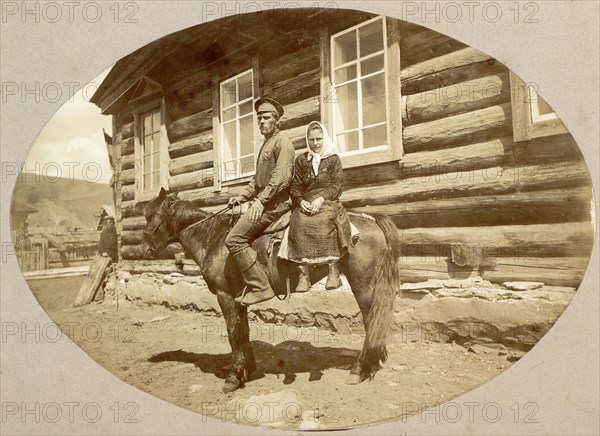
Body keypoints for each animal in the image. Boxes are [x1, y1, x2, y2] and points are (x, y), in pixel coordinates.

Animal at [141, 186, 400, 392]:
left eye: (152, 216)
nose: (143, 249)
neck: (213, 240)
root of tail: (371, 219)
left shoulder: (225, 296)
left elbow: (233, 334)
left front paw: (234, 377)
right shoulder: (240, 299)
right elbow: (243, 333)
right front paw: (248, 370)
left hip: (363, 284)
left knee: (371, 321)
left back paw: (359, 370)